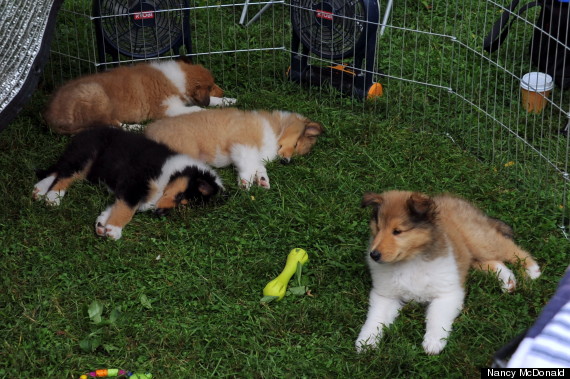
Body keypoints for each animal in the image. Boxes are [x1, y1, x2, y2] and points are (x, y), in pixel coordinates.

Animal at [30, 127, 222, 240]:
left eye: (182, 205)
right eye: (180, 196)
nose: (159, 214)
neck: (171, 173)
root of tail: (86, 131)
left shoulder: (127, 190)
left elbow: (119, 205)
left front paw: (103, 224)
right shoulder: (135, 181)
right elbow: (127, 208)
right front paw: (114, 229)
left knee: (60, 169)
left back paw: (40, 189)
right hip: (87, 154)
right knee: (66, 174)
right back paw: (53, 196)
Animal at [43, 58, 235, 136]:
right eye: (211, 86)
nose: (223, 92)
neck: (180, 77)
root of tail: (50, 117)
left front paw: (228, 100)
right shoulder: (168, 108)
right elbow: (196, 108)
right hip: (96, 95)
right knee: (112, 124)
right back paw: (136, 127)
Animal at [145, 107, 324, 190]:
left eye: (296, 152)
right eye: (296, 145)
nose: (286, 161)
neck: (276, 129)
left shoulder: (256, 154)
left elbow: (258, 166)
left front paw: (262, 180)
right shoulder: (243, 143)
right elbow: (249, 165)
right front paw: (246, 183)